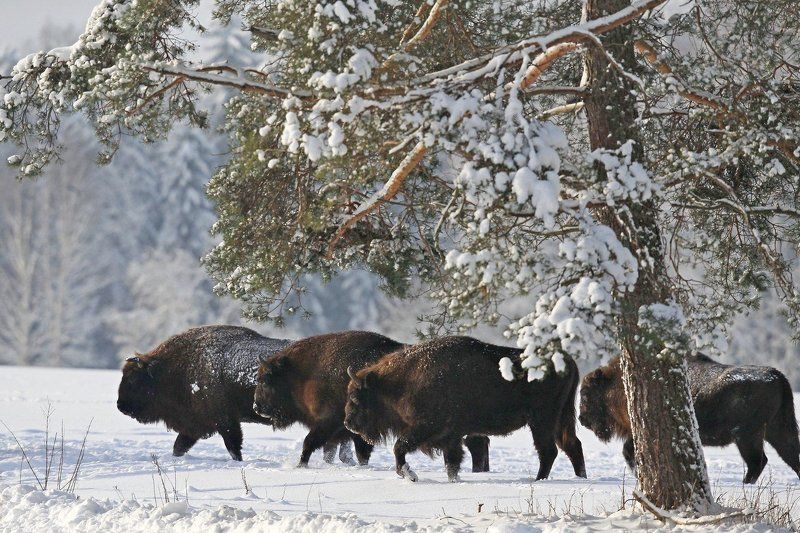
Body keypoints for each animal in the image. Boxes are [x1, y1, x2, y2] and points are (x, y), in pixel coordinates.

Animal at [343, 336, 586, 482]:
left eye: (356, 396)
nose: (348, 422)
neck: (400, 381)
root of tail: (567, 362)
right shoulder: (450, 436)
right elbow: (452, 462)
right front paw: (454, 480)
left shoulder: (425, 429)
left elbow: (399, 447)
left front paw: (410, 475)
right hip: (560, 419)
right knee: (572, 445)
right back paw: (580, 478)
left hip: (542, 421)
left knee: (549, 451)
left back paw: (538, 480)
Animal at [579, 354, 800, 484]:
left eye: (586, 393)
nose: (582, 419)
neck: (617, 382)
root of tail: (777, 376)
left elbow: (628, 450)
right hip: (777, 430)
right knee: (789, 456)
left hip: (746, 435)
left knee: (757, 461)